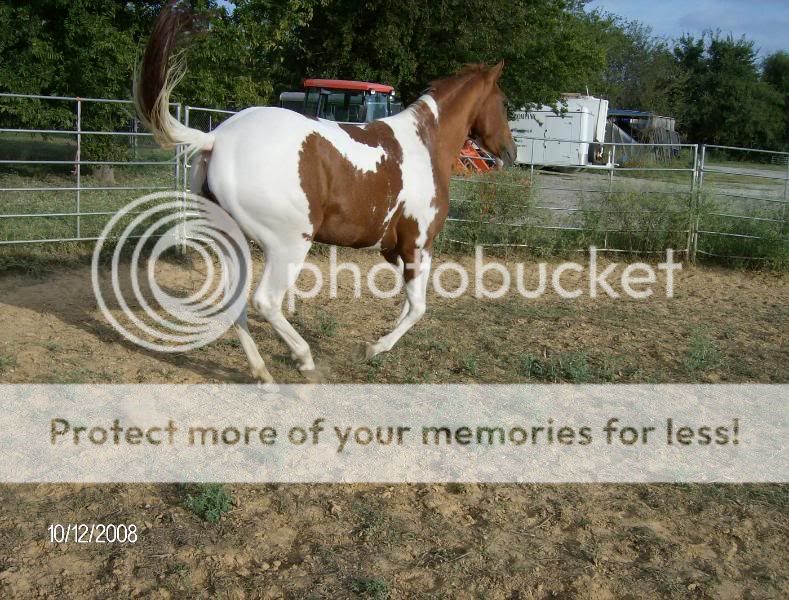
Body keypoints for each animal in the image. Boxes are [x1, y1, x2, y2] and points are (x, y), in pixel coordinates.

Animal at [135, 1, 516, 384]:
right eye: (504, 103)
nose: (510, 153)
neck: (424, 143)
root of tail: (218, 138)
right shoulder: (416, 245)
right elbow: (418, 307)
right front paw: (372, 348)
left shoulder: (394, 249)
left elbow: (411, 303)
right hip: (288, 245)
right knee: (265, 301)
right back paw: (303, 358)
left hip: (233, 240)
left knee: (236, 302)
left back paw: (262, 373)